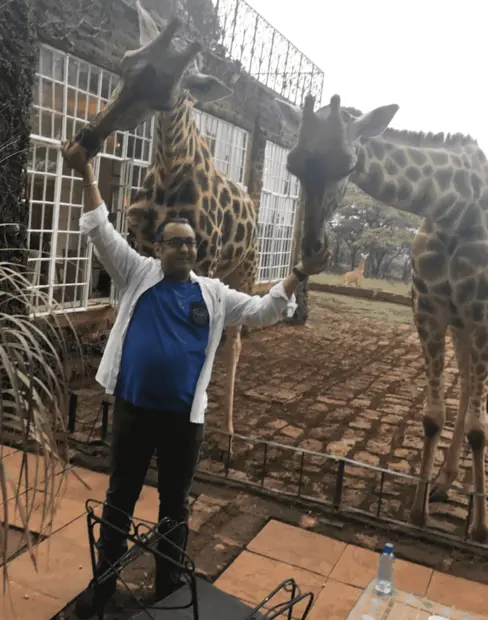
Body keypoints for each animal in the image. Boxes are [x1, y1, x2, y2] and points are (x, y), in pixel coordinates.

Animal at [67, 2, 264, 452]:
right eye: (124, 66)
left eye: (166, 90)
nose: (88, 137)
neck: (170, 175)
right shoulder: (138, 248)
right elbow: (123, 318)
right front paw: (106, 419)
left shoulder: (204, 263)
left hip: (245, 269)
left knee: (234, 341)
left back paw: (228, 434)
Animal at [276, 92, 488, 544]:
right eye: (294, 164)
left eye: (347, 165)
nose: (315, 249)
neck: (455, 208)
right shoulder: (431, 312)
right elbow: (433, 416)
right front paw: (419, 511)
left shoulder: (479, 317)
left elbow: (479, 426)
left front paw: (479, 528)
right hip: (461, 328)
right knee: (465, 390)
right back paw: (445, 484)